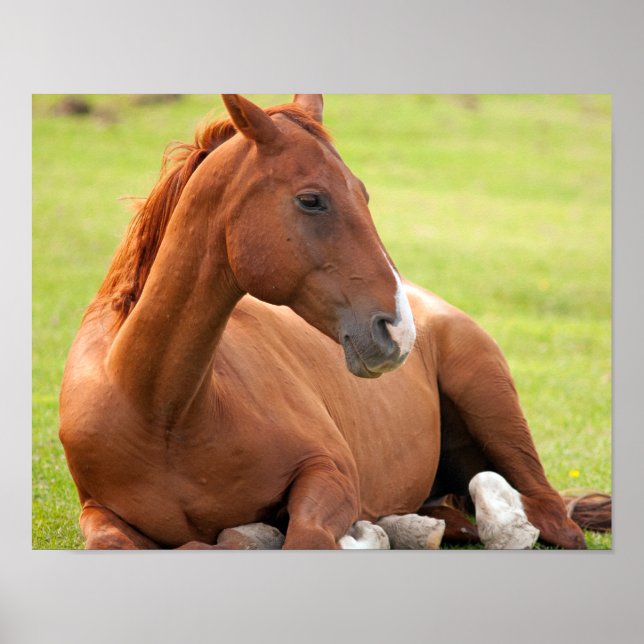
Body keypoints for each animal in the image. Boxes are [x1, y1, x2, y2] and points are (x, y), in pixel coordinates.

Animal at [59, 94, 601, 550]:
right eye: (311, 199)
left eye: (363, 195)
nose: (399, 329)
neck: (160, 410)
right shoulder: (98, 513)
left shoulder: (330, 473)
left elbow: (304, 538)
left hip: (492, 404)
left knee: (546, 520)